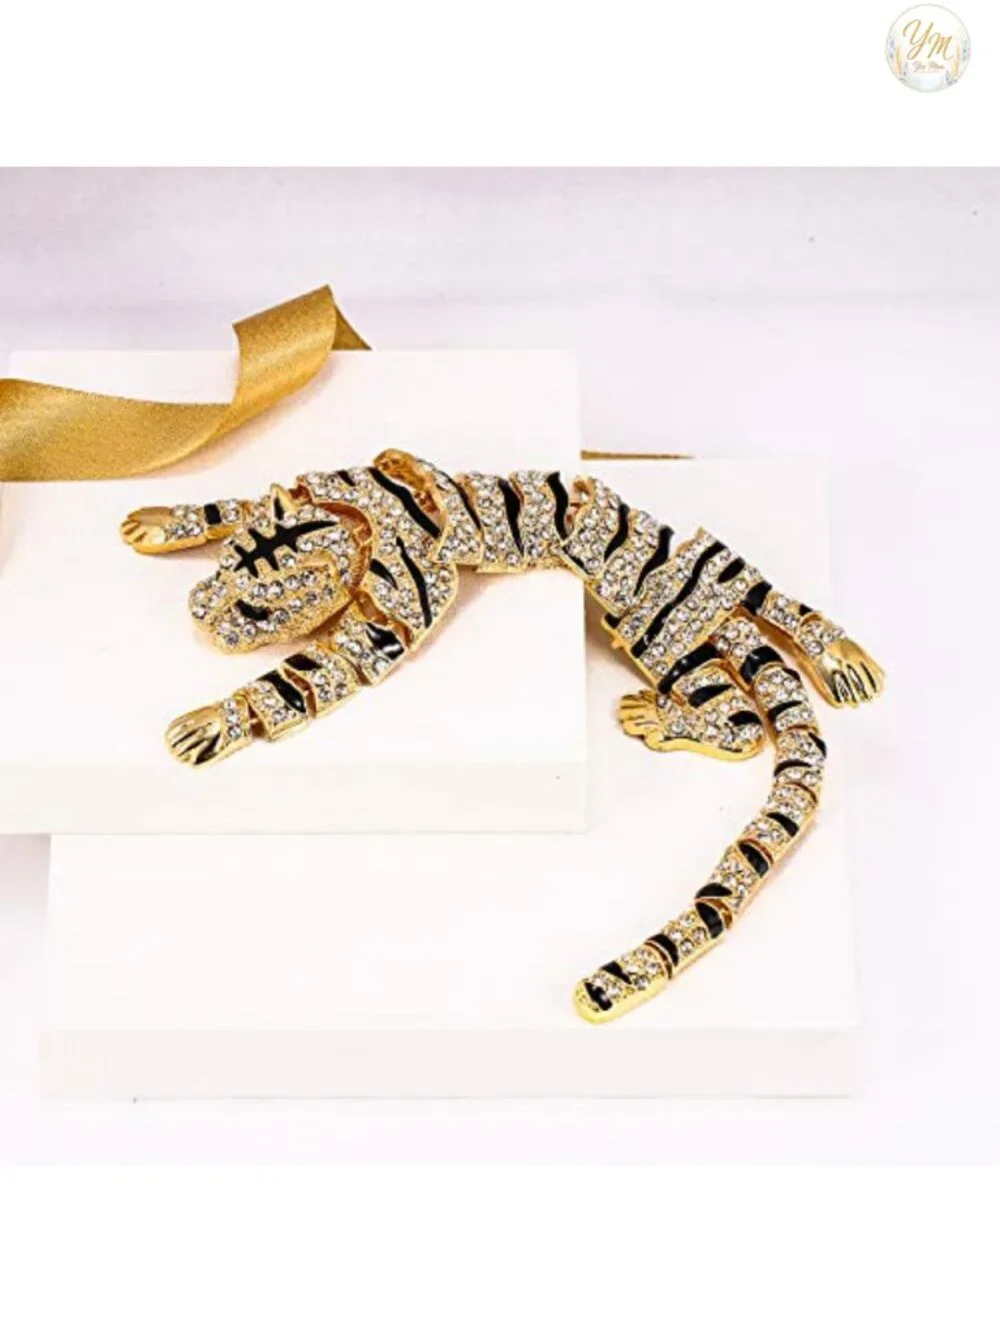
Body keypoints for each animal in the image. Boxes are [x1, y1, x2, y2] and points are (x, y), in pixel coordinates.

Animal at [120, 448, 883, 1024]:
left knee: (751, 687)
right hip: (686, 617)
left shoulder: (391, 614)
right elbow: (236, 500)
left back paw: (794, 675)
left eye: (254, 608)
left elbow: (301, 678)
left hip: (654, 614)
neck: (362, 518)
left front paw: (214, 719)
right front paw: (164, 518)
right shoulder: (326, 481)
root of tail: (716, 614)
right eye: (227, 565)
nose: (197, 614)